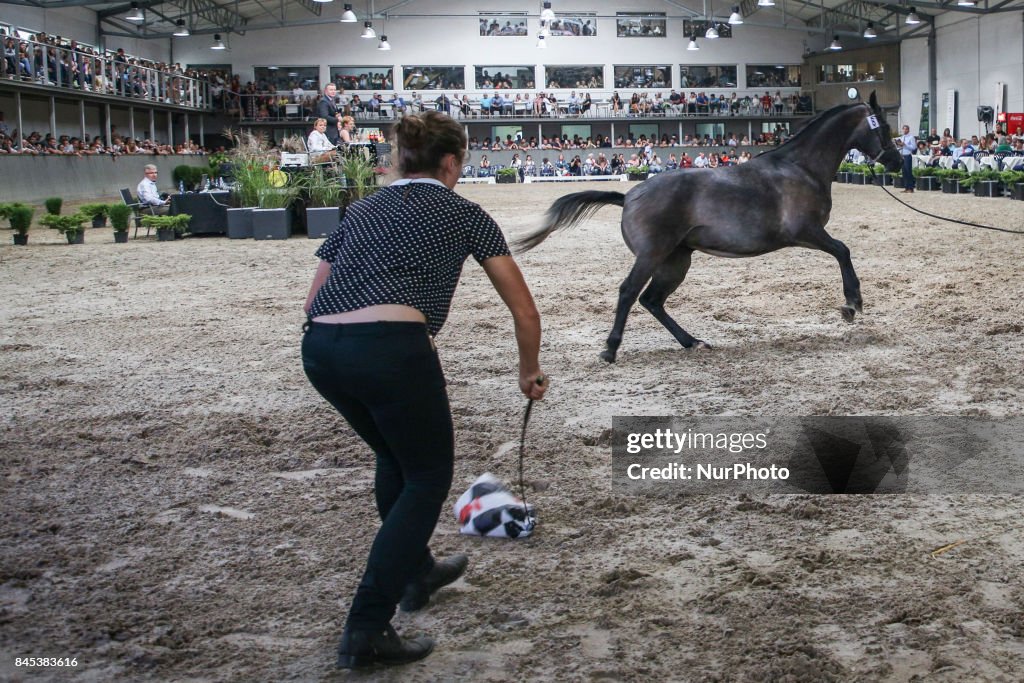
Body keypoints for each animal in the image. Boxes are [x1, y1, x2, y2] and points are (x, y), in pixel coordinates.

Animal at [516, 94, 901, 368]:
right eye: (882, 126)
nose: (897, 161)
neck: (799, 168)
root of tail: (628, 197)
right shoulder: (805, 232)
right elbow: (843, 250)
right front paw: (852, 303)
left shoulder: (809, 234)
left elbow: (842, 251)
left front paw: (852, 303)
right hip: (653, 255)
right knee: (629, 293)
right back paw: (610, 350)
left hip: (676, 261)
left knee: (652, 300)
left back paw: (693, 342)